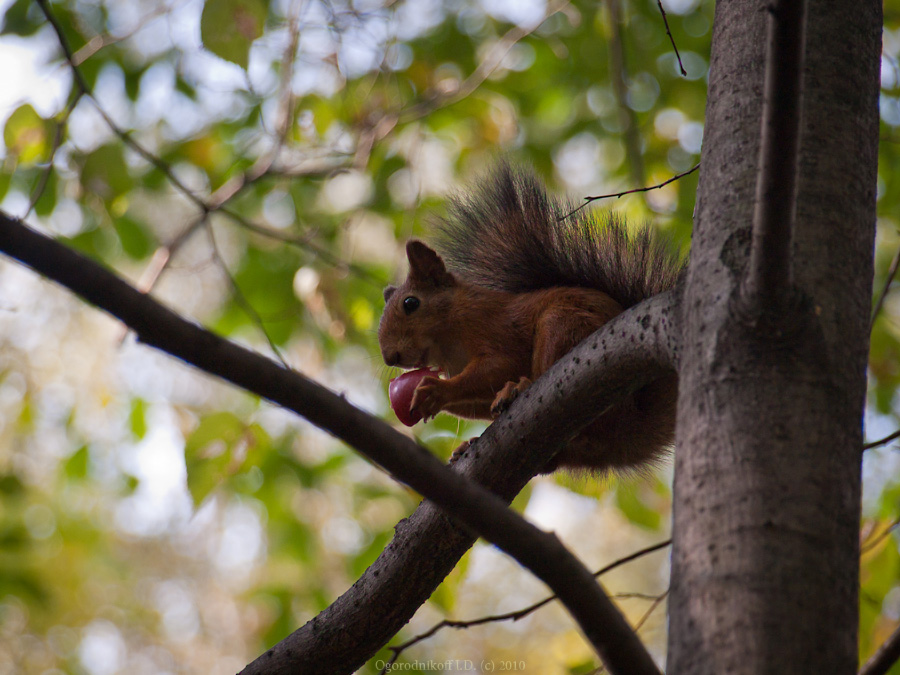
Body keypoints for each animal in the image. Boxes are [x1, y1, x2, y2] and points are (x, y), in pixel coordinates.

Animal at [376, 166, 680, 472]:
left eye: (410, 303)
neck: (450, 341)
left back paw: (519, 388)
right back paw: (470, 445)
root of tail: (631, 428)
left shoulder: (492, 326)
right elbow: (476, 403)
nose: (390, 358)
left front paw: (437, 390)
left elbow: (500, 365)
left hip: (562, 323)